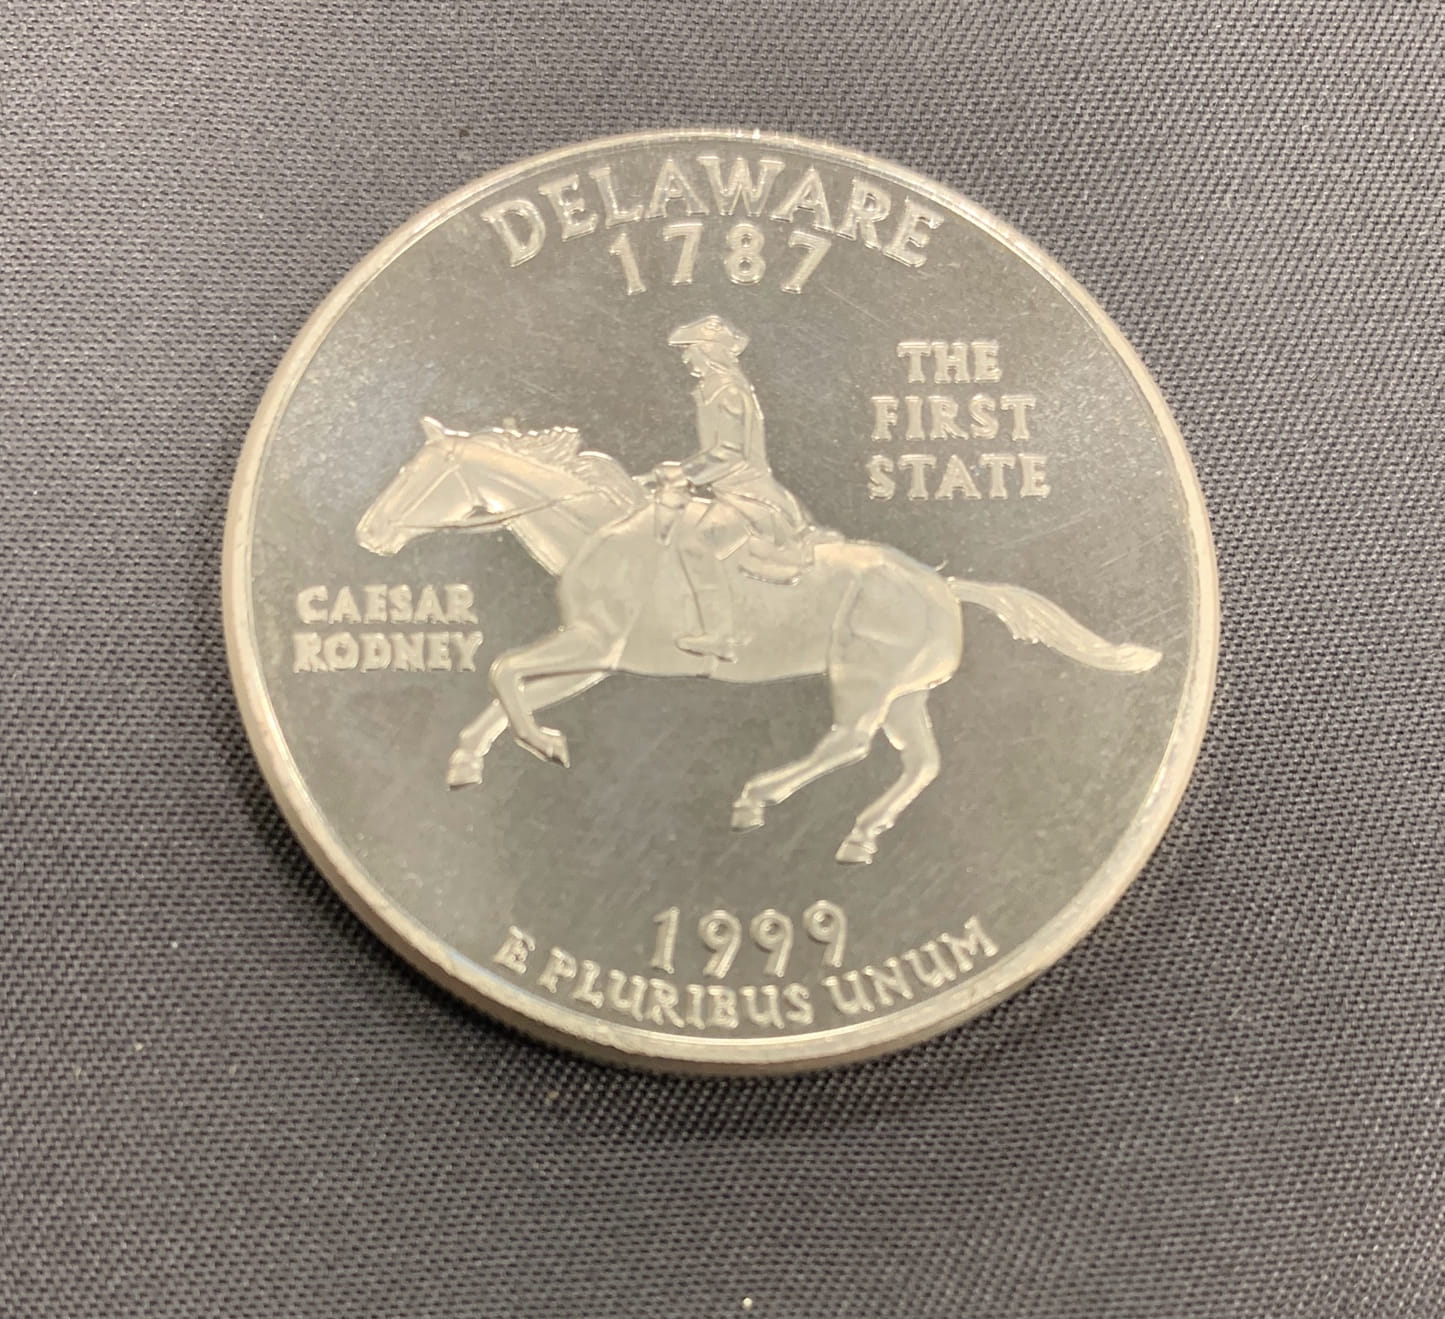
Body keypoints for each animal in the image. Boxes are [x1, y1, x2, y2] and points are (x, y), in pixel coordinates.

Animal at [356, 417, 1161, 864]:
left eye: (415, 474)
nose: (369, 532)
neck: (596, 531)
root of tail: (946, 587)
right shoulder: (593, 658)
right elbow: (509, 684)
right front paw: (476, 757)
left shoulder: (590, 644)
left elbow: (502, 668)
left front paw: (541, 744)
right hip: (904, 696)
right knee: (920, 763)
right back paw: (860, 837)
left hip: (862, 681)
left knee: (849, 742)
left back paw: (756, 797)